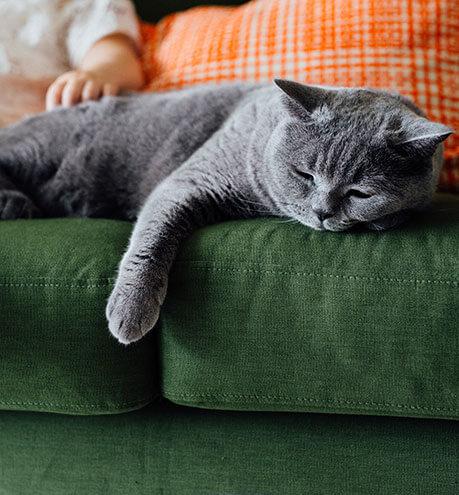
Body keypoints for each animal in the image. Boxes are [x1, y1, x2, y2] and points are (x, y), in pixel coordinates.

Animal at [0, 80, 452, 344]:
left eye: (359, 192)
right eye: (304, 173)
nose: (322, 211)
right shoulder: (188, 180)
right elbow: (151, 238)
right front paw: (130, 312)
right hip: (38, 150)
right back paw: (15, 203)